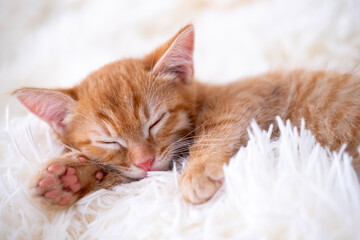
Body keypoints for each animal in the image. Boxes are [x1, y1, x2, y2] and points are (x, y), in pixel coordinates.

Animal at [14, 23, 360, 206]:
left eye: (155, 122)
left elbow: (216, 131)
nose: (144, 160)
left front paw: (198, 172)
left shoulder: (246, 97)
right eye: (109, 141)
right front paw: (70, 177)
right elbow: (129, 174)